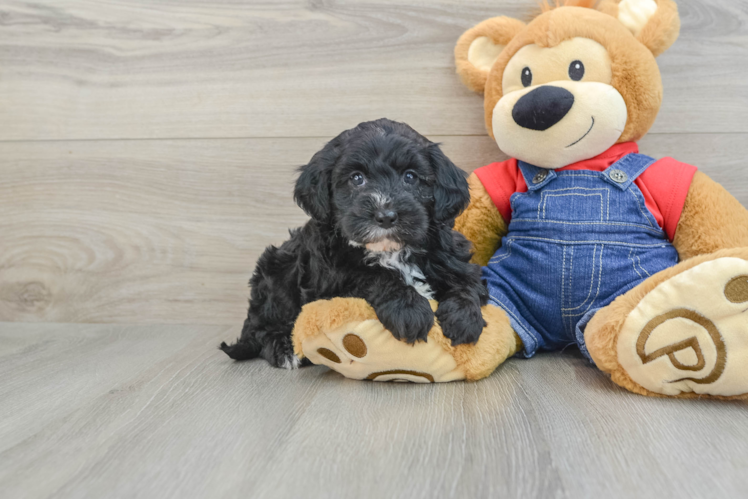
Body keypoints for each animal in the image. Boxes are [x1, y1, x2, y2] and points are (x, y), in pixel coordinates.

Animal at [219, 117, 488, 368]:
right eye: (356, 178)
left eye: (410, 177)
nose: (385, 215)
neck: (391, 251)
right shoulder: (331, 282)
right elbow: (372, 276)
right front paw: (409, 309)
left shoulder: (454, 259)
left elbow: (468, 283)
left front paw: (464, 317)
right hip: (277, 271)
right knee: (261, 328)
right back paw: (284, 348)